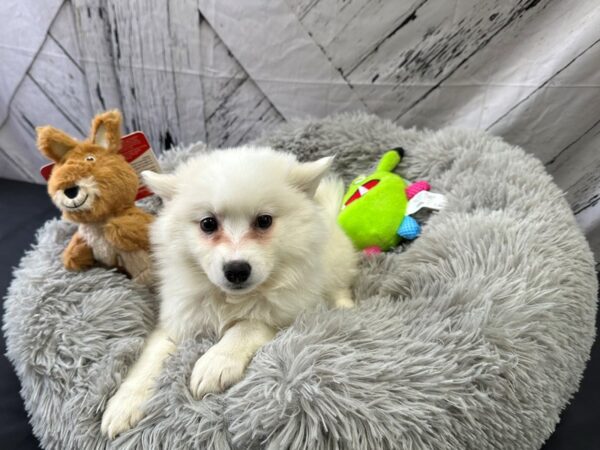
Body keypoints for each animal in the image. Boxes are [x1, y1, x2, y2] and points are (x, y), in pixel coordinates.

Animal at [101, 146, 358, 438]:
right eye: (208, 223)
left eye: (264, 221)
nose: (236, 270)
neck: (230, 297)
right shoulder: (178, 319)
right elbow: (151, 357)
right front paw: (123, 404)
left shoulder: (287, 311)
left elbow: (246, 326)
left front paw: (215, 363)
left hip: (336, 264)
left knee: (340, 287)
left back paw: (345, 307)